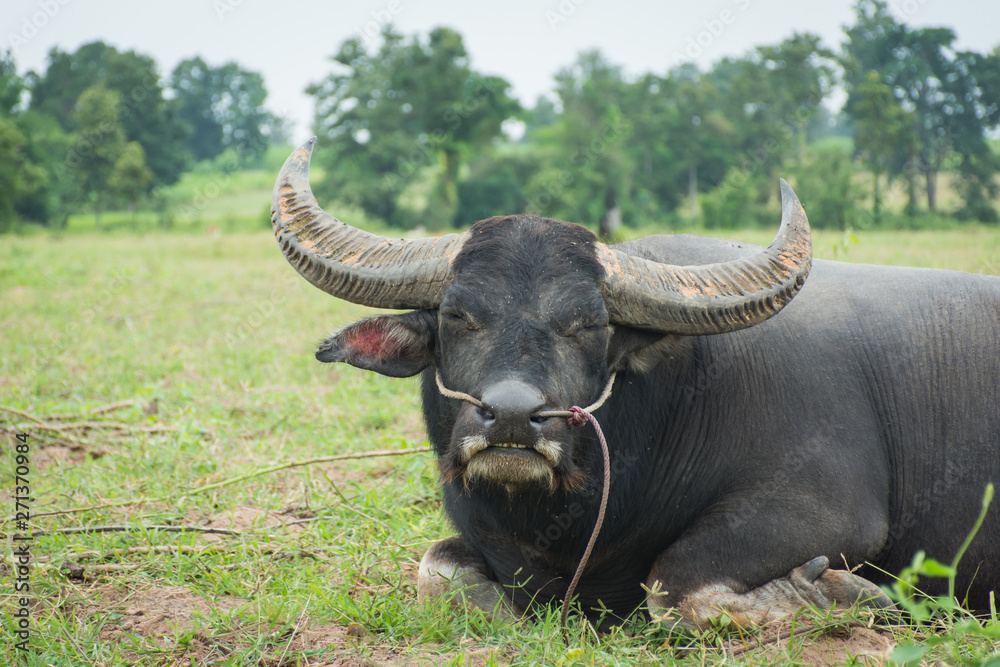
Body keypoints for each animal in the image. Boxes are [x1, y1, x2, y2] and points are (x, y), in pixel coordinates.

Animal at [270, 138, 996, 628]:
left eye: (589, 324)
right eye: (456, 316)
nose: (513, 418)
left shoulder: (827, 508)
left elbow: (673, 586)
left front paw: (841, 592)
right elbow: (436, 570)